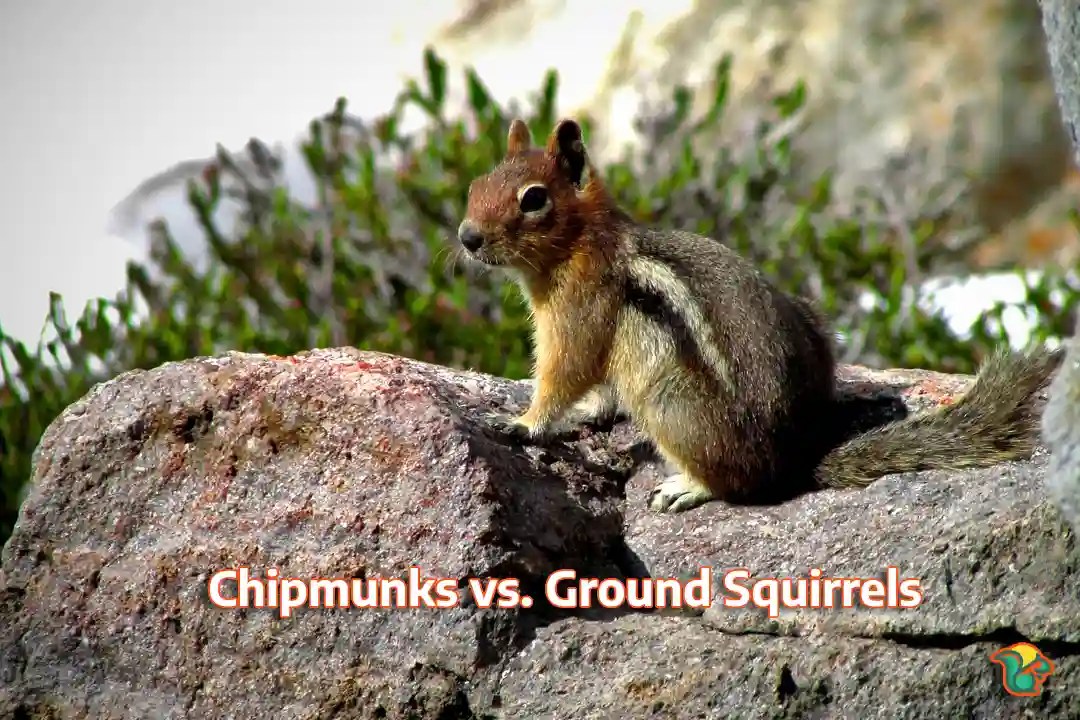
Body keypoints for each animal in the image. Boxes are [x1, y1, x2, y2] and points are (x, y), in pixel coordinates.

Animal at [457, 116, 1064, 513]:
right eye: (475, 185)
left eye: (534, 198)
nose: (467, 237)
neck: (582, 241)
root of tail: (794, 461)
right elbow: (598, 390)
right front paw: (585, 413)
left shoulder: (578, 313)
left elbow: (564, 374)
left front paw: (521, 422)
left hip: (668, 399)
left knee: (735, 486)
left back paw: (684, 487)